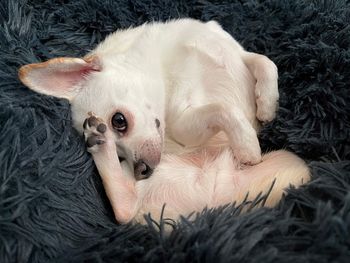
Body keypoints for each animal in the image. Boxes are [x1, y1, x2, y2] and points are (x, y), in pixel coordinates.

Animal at [19, 19, 308, 225]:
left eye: (118, 121)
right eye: (122, 155)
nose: (141, 170)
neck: (166, 58)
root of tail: (217, 209)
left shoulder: (238, 52)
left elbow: (265, 62)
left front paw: (267, 105)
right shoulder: (183, 123)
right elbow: (221, 109)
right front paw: (248, 146)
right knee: (124, 208)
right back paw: (100, 146)